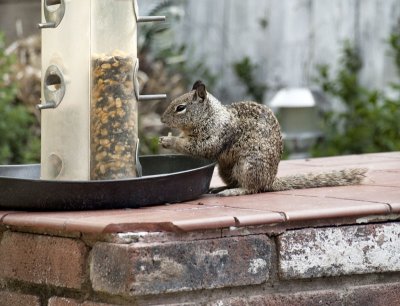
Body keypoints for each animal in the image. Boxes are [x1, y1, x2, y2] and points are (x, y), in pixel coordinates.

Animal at [159, 80, 366, 196]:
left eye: (180, 108)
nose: (161, 119)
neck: (212, 116)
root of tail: (270, 181)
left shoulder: (216, 134)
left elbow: (200, 148)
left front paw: (169, 141)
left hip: (247, 166)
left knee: (252, 188)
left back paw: (233, 192)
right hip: (226, 170)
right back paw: (221, 189)